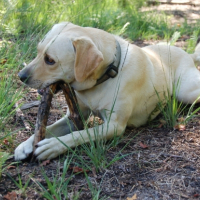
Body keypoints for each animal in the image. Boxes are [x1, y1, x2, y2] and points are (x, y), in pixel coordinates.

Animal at [14, 22, 200, 161]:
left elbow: (82, 134)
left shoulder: (114, 126)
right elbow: (49, 128)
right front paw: (25, 145)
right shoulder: (74, 117)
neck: (108, 73)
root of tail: (187, 54)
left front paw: (53, 145)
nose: (20, 76)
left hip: (186, 91)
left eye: (50, 60)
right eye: (38, 51)